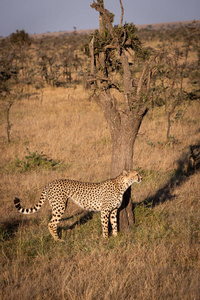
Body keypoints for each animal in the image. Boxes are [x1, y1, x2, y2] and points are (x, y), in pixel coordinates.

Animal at [13, 170, 142, 240]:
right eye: (136, 174)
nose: (141, 177)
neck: (122, 185)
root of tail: (50, 182)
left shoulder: (113, 210)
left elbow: (114, 224)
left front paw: (115, 237)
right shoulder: (105, 210)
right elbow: (105, 225)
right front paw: (106, 238)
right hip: (60, 207)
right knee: (51, 223)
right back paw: (58, 240)